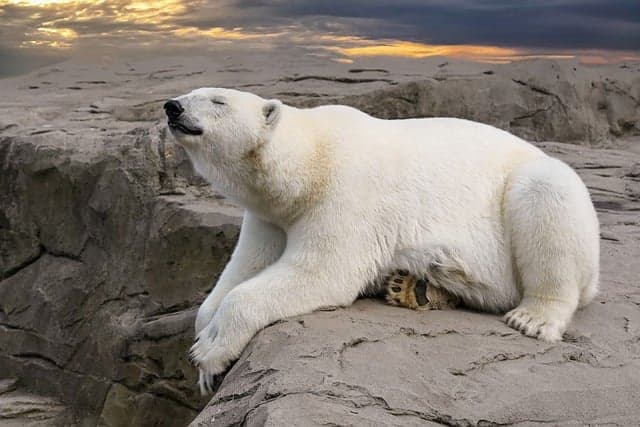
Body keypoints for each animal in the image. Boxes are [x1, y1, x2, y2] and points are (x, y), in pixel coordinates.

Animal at [164, 88, 600, 394]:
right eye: (193, 92)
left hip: (533, 194)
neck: (310, 160)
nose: (173, 107)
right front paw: (206, 358)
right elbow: (245, 267)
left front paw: (210, 350)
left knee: (546, 195)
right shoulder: (269, 215)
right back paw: (414, 285)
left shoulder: (348, 191)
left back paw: (533, 317)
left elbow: (321, 272)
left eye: (218, 100)